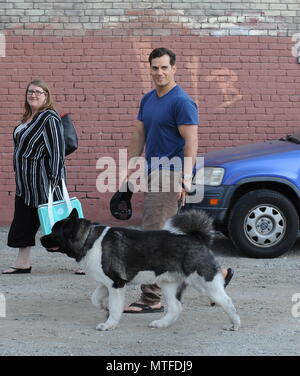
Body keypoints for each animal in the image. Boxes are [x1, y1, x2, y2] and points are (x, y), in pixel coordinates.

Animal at [40, 209, 241, 332]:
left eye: (54, 232)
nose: (41, 239)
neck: (89, 239)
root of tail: (198, 238)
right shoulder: (108, 283)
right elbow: (95, 298)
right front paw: (103, 307)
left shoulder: (116, 284)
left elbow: (115, 307)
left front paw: (109, 324)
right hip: (168, 284)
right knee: (175, 308)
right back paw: (161, 324)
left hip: (206, 283)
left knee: (228, 302)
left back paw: (235, 324)